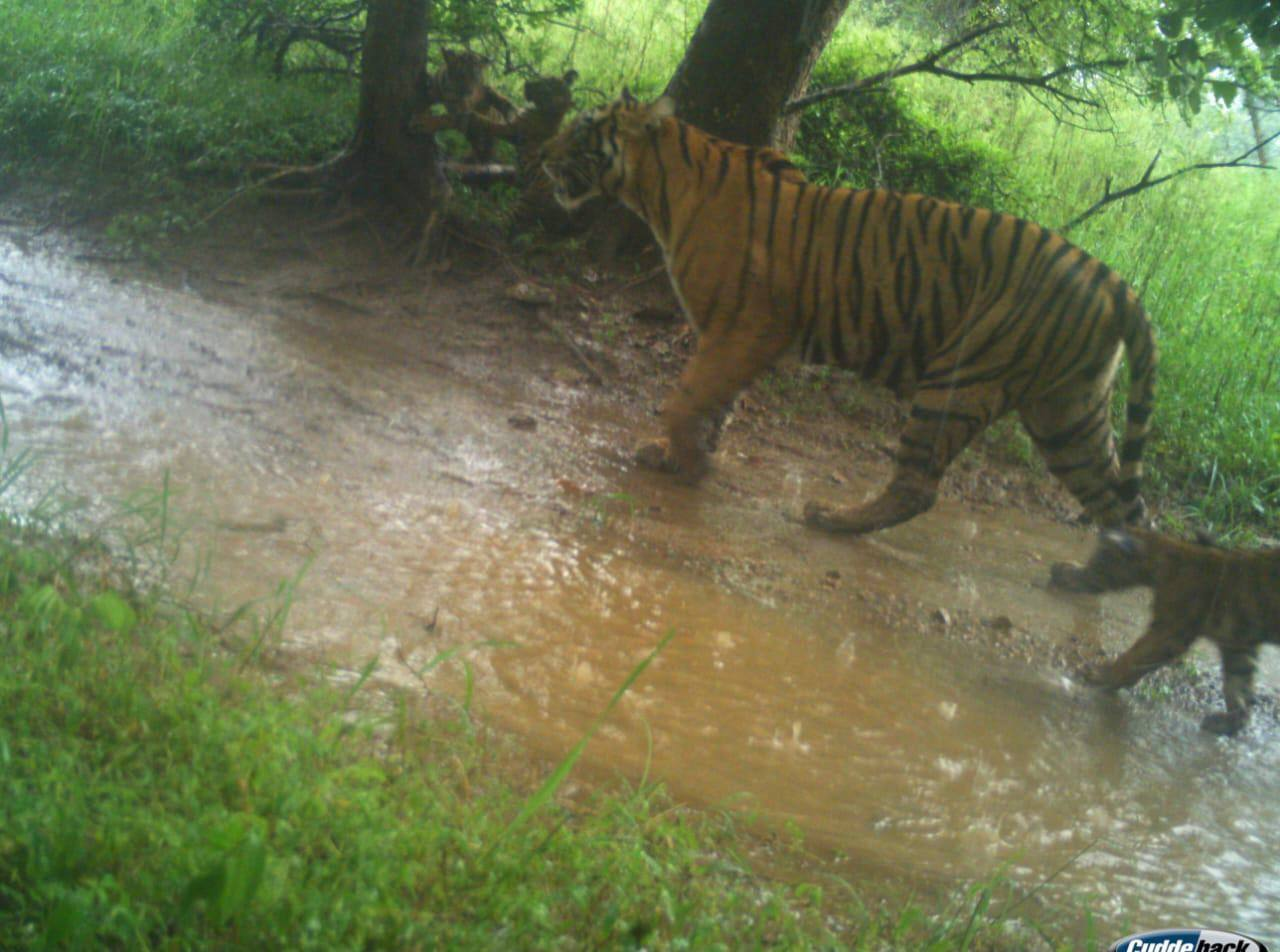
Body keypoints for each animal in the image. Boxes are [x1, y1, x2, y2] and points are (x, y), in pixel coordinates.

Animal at [540, 92, 1162, 539]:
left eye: (581, 131)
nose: (541, 155)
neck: (658, 191)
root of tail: (1112, 280)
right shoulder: (725, 334)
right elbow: (709, 402)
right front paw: (682, 457)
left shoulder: (748, 328)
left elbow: (686, 399)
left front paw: (689, 464)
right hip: (1067, 411)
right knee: (1121, 507)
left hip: (962, 379)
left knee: (918, 487)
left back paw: (834, 519)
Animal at [1049, 527, 1280, 737]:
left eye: (1096, 559)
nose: (1056, 568)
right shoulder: (1238, 645)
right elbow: (1238, 685)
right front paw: (1229, 723)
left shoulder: (1169, 631)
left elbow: (1136, 656)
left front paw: (1101, 674)